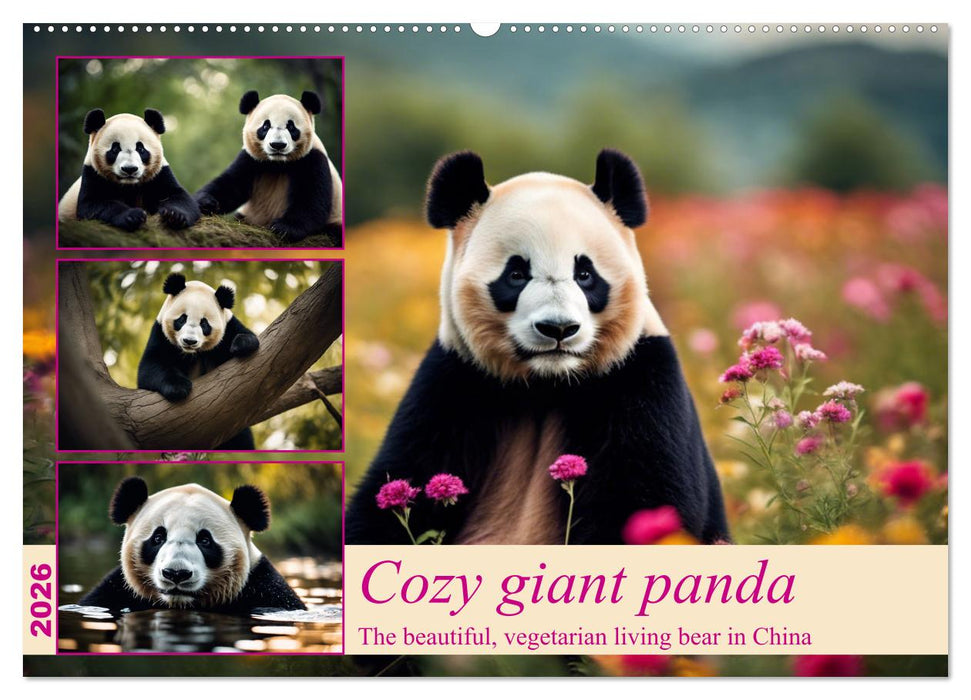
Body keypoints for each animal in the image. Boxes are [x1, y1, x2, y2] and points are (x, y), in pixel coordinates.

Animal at [58, 109, 200, 231]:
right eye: (115, 149)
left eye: (141, 149)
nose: (129, 169)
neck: (129, 186)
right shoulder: (93, 173)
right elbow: (93, 204)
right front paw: (133, 216)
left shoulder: (159, 174)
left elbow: (178, 196)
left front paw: (174, 215)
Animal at [137, 272, 260, 450]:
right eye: (182, 319)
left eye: (204, 323)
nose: (189, 341)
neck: (192, 354)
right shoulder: (160, 334)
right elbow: (150, 367)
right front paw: (179, 386)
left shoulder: (229, 327)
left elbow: (249, 337)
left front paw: (241, 344)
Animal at [195, 90, 343, 244]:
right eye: (265, 126)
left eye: (291, 127)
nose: (278, 145)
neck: (277, 164)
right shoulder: (251, 159)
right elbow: (231, 185)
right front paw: (206, 202)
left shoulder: (313, 158)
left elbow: (310, 199)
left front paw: (284, 228)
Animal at [346, 149, 730, 545]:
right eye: (516, 274)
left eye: (585, 274)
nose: (557, 328)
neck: (546, 385)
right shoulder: (454, 383)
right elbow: (395, 489)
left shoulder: (641, 379)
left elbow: (644, 500)